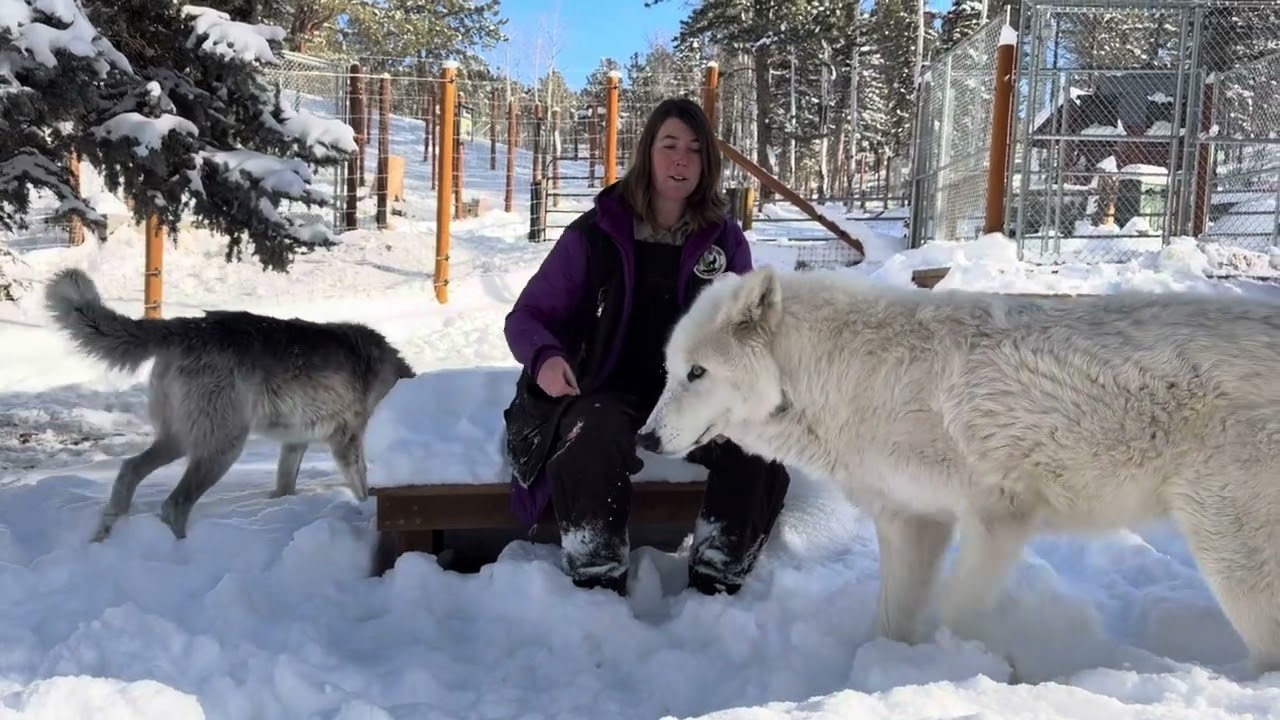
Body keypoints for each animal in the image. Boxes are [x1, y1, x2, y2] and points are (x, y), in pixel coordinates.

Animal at [44, 267, 415, 541]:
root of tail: (186, 326)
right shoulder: (346, 442)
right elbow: (363, 487)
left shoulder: (295, 444)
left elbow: (285, 487)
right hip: (223, 449)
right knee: (173, 503)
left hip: (181, 441)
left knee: (128, 470)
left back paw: (105, 536)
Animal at [637, 265, 1280, 675]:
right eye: (670, 370)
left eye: (697, 372)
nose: (645, 437)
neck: (840, 378)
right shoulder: (913, 522)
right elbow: (892, 623)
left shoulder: (998, 520)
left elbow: (956, 612)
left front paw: (982, 669)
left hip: (1232, 558)